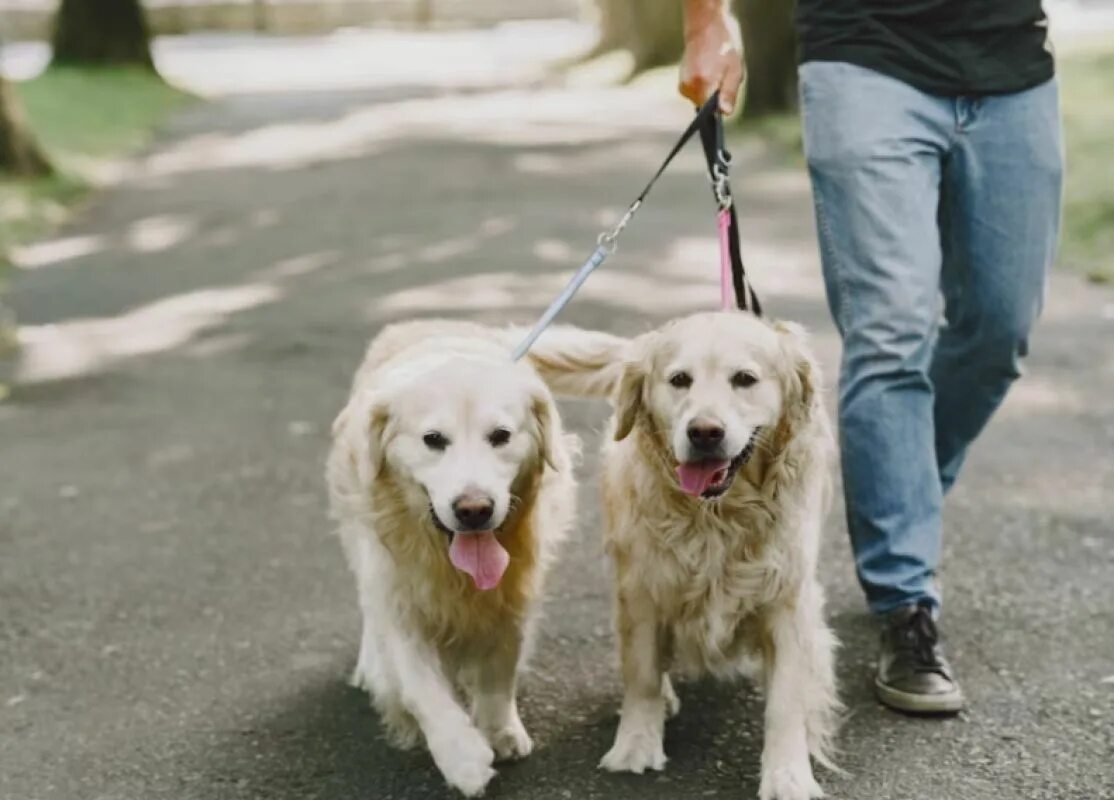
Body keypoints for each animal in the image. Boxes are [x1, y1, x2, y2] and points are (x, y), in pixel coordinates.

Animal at [325, 318, 574, 797]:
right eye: (433, 440)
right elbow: (421, 688)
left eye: (501, 436)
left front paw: (500, 729)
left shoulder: (512, 597)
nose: (474, 509)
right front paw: (461, 756)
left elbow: (499, 672)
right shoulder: (400, 598)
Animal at [528, 314, 837, 800]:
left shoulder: (788, 600)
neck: (717, 517)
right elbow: (642, 673)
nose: (704, 432)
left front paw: (788, 774)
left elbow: (787, 700)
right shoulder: (641, 590)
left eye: (744, 379)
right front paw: (636, 744)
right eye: (679, 380)